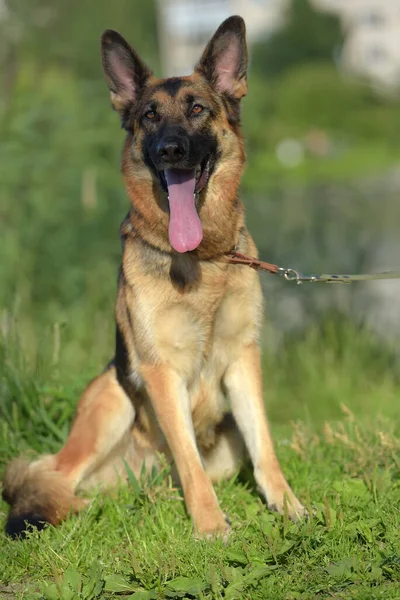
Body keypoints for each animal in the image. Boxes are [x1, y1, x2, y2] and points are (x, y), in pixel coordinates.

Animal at [3, 15, 304, 540]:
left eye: (198, 109)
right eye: (149, 116)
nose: (170, 149)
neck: (203, 259)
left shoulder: (243, 360)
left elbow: (264, 444)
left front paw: (288, 506)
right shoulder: (161, 372)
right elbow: (189, 460)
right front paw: (210, 527)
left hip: (216, 444)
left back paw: (151, 495)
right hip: (113, 398)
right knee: (50, 474)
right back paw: (77, 505)